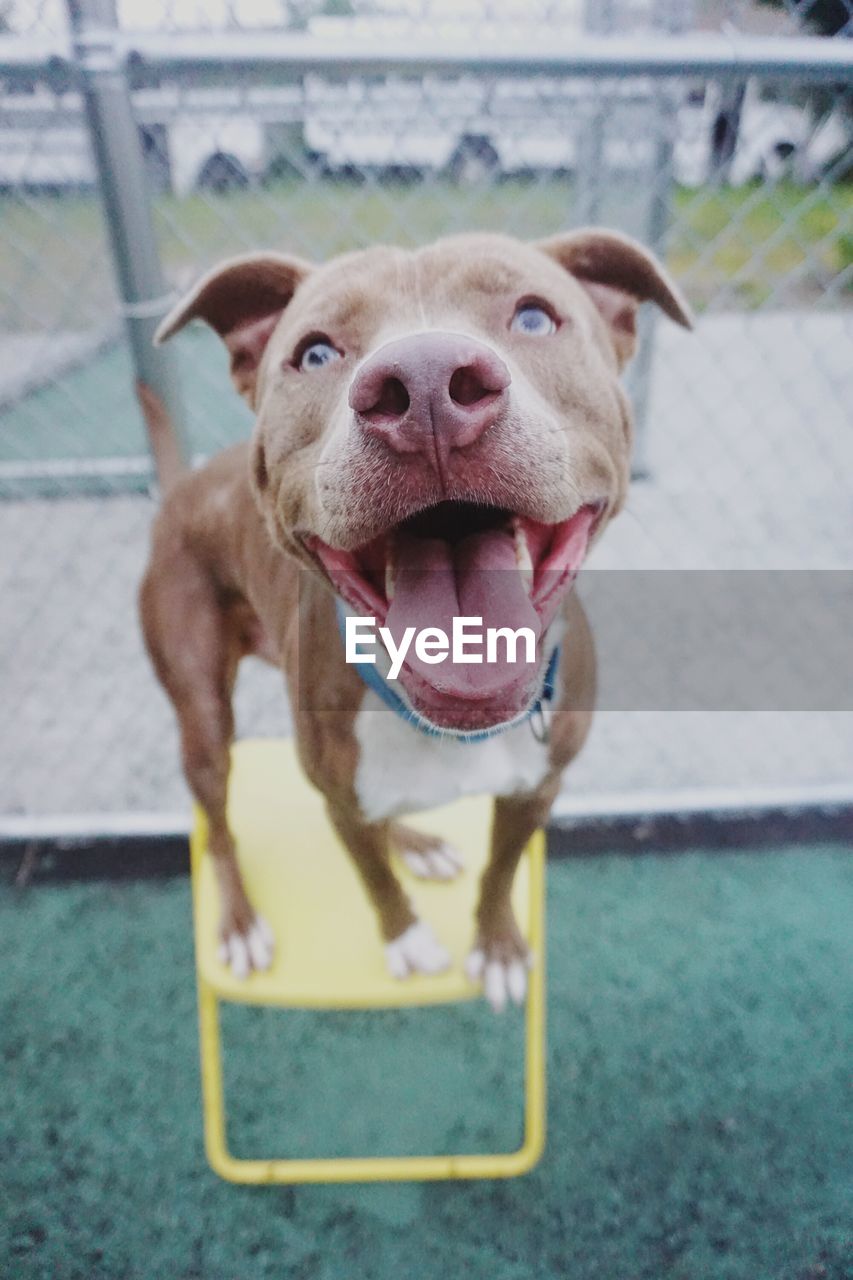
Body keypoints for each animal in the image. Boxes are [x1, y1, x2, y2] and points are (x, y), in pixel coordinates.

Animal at [137, 227, 686, 1008]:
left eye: (533, 317)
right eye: (314, 353)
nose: (426, 385)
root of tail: (184, 488)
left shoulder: (538, 789)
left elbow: (499, 870)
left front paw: (497, 945)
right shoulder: (338, 795)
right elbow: (371, 876)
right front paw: (405, 938)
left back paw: (416, 843)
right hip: (203, 717)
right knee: (218, 826)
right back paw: (240, 922)